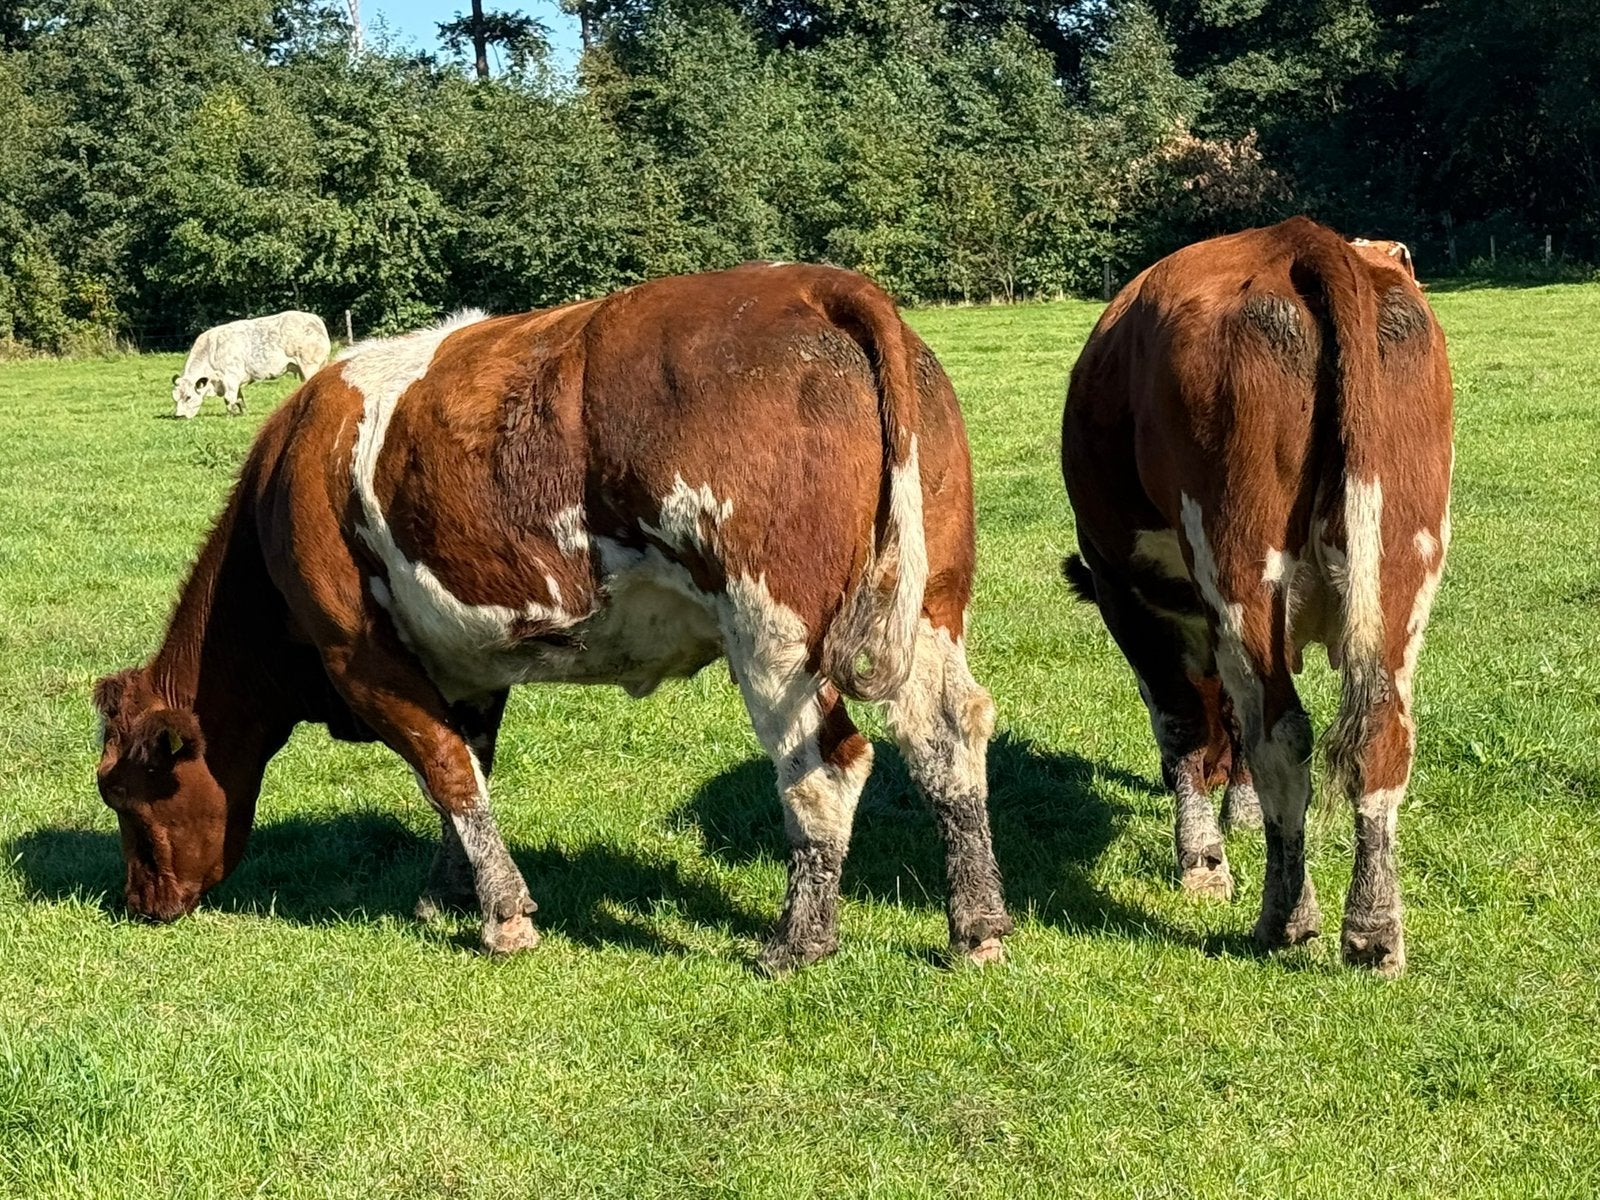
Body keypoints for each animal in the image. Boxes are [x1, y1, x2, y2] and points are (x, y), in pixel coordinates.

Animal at [172, 310, 331, 418]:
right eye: (175, 398)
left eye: (188, 397)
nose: (179, 416)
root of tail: (315, 319)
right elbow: (239, 398)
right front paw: (243, 413)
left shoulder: (230, 377)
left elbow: (229, 398)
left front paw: (230, 415)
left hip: (309, 365)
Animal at [1060, 217, 1452, 976]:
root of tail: (1300, 239)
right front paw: (1238, 816)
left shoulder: (1125, 593)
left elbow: (1182, 723)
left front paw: (1203, 859)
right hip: (1404, 559)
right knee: (1382, 730)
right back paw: (1374, 931)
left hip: (1237, 560)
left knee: (1280, 731)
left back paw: (1286, 919)